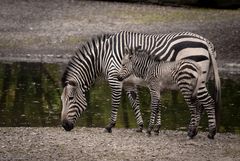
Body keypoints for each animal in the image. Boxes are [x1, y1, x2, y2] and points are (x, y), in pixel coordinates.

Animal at [61, 30, 220, 135]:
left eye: (70, 98)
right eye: (62, 100)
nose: (64, 126)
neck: (102, 56)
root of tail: (206, 42)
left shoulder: (115, 79)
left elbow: (115, 103)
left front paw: (110, 125)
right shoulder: (129, 83)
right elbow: (136, 103)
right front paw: (144, 126)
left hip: (195, 80)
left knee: (207, 102)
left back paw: (209, 132)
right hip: (197, 81)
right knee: (199, 103)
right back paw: (194, 130)